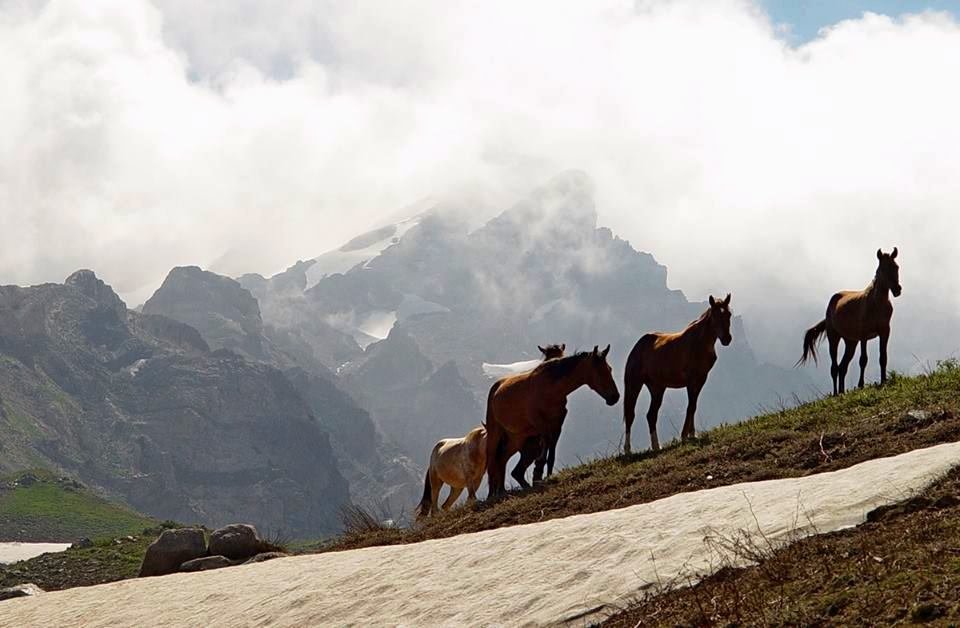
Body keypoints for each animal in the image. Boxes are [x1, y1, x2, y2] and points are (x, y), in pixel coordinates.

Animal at [484, 346, 620, 498]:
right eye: (600, 371)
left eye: (609, 369)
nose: (615, 397)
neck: (550, 388)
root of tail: (497, 386)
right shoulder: (541, 423)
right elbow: (547, 444)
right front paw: (538, 472)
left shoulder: (557, 424)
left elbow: (552, 452)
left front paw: (547, 476)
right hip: (495, 434)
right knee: (493, 461)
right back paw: (493, 494)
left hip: (517, 438)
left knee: (503, 461)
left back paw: (504, 490)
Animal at [620, 296, 732, 454]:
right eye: (715, 316)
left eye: (729, 315)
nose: (727, 339)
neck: (699, 343)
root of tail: (637, 347)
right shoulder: (691, 381)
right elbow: (690, 406)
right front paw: (684, 436)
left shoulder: (701, 379)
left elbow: (693, 406)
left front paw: (692, 435)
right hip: (634, 384)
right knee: (630, 414)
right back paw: (628, 450)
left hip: (657, 388)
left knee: (651, 415)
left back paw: (656, 446)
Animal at [796, 245, 900, 392]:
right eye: (882, 269)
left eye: (896, 267)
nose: (897, 290)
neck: (876, 304)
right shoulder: (863, 335)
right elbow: (863, 360)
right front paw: (861, 385)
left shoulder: (884, 332)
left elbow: (883, 357)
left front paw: (883, 381)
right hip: (834, 337)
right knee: (834, 367)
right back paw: (836, 393)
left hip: (851, 342)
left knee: (842, 367)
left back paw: (842, 391)